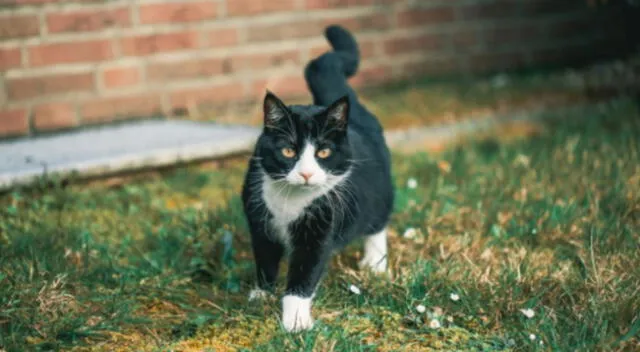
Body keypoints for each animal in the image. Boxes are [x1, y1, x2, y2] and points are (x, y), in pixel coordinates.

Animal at [240, 24, 392, 332]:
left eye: (323, 152)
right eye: (288, 150)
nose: (307, 173)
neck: (290, 201)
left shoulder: (320, 227)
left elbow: (304, 273)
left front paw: (295, 322)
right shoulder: (258, 218)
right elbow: (265, 258)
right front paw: (261, 294)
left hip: (381, 189)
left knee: (378, 220)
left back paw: (375, 262)